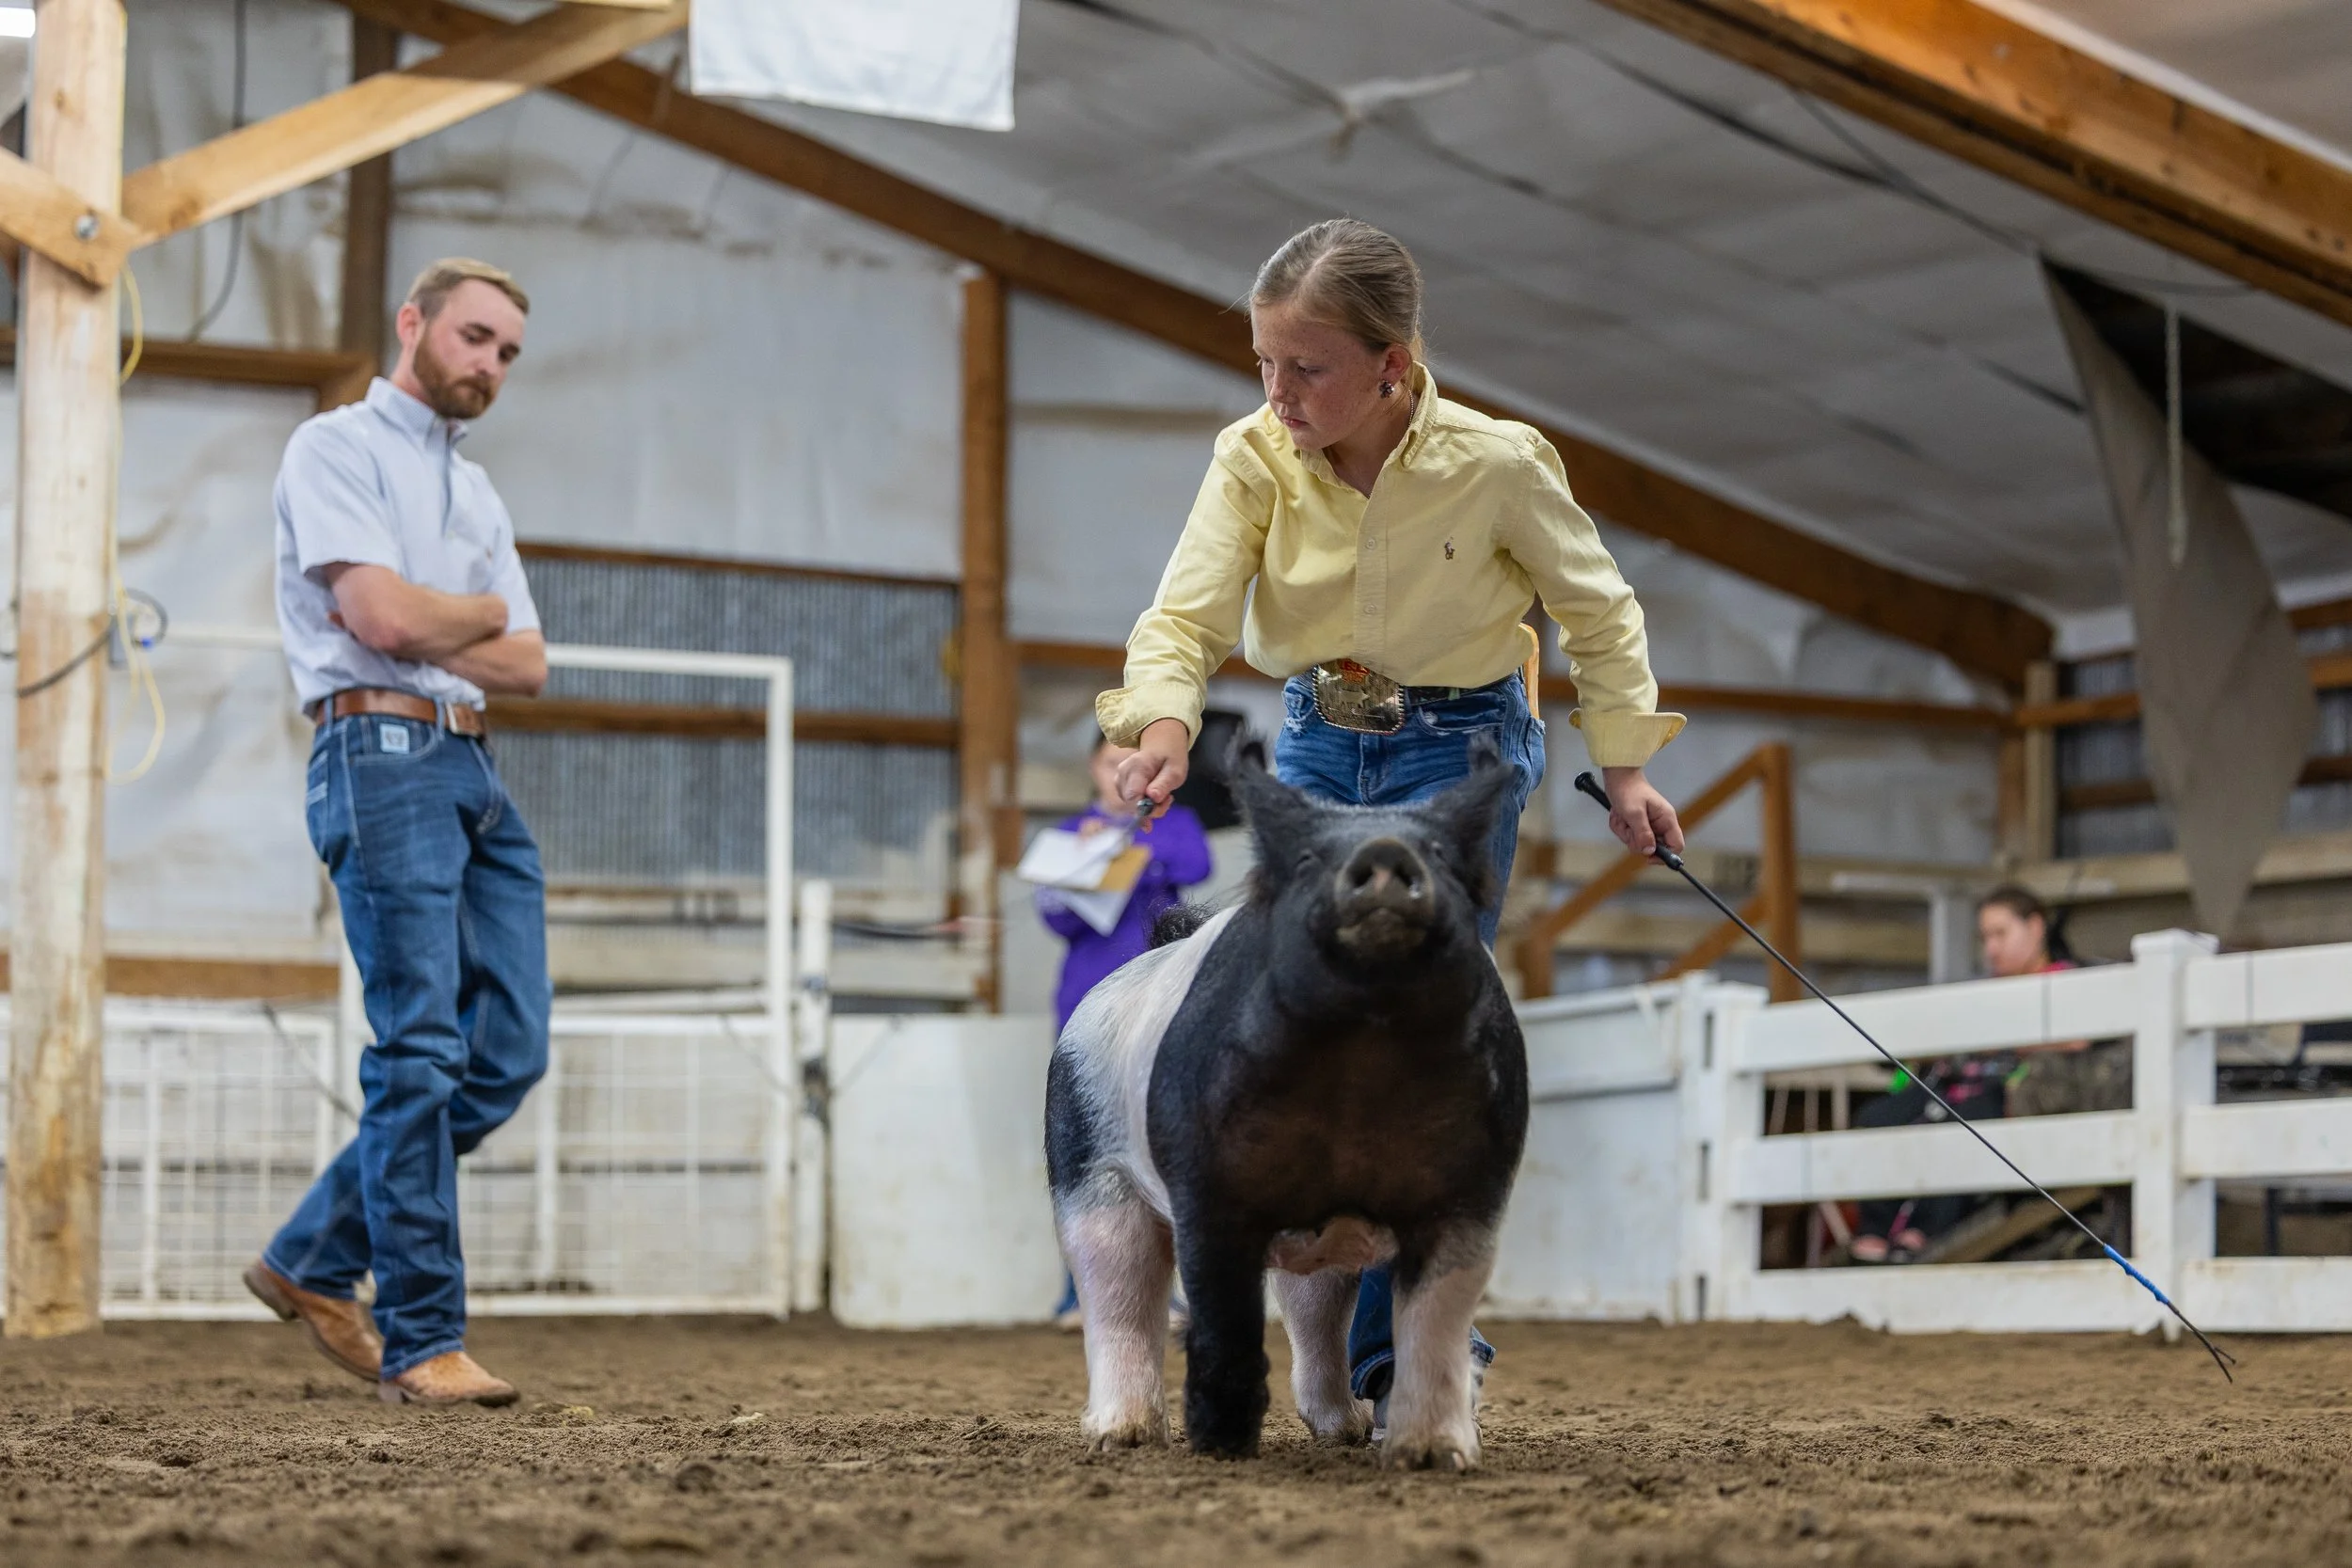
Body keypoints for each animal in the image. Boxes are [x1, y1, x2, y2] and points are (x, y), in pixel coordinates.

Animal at [1044, 735, 1527, 1470]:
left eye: (1441, 854)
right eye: (1307, 860)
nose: (1385, 850)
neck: (1363, 1062)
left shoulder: (1471, 1195)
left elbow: (1437, 1319)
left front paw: (1435, 1454)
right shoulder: (1208, 1189)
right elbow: (1223, 1320)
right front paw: (1220, 1446)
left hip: (1322, 1235)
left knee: (1312, 1307)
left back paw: (1343, 1430)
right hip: (1085, 1169)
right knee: (1118, 1293)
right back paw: (1123, 1435)